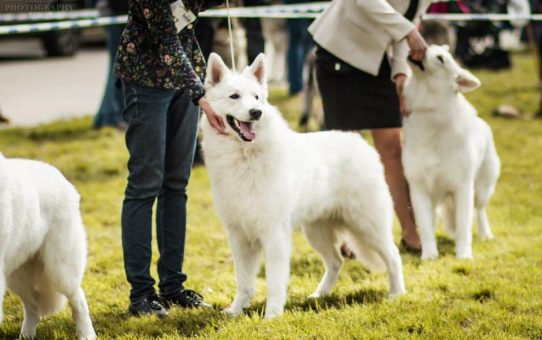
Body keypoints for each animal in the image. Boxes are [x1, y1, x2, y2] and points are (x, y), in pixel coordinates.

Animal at [0, 155, 96, 340]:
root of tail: (57, 173)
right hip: (16, 275)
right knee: (33, 305)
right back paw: (26, 336)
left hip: (59, 271)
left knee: (78, 299)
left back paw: (87, 334)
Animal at [202, 52, 406, 318]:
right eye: (234, 96)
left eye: (256, 97)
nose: (256, 112)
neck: (244, 156)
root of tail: (362, 144)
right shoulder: (239, 236)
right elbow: (244, 282)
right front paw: (236, 310)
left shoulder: (274, 235)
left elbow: (274, 282)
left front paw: (272, 316)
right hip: (317, 231)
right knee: (336, 261)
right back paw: (320, 295)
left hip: (368, 226)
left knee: (393, 256)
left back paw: (396, 294)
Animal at [404, 45, 502, 260]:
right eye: (429, 48)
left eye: (440, 59)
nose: (421, 47)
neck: (431, 108)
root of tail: (483, 124)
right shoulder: (419, 188)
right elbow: (425, 227)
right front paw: (429, 255)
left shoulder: (463, 187)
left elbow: (464, 225)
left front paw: (464, 255)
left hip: (481, 190)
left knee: (480, 211)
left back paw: (486, 234)